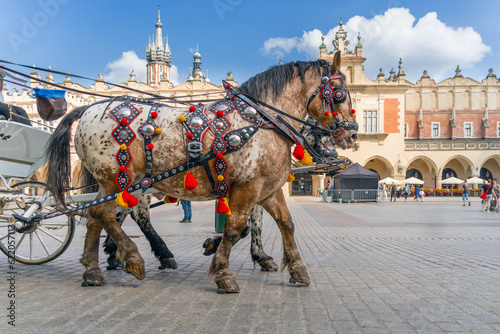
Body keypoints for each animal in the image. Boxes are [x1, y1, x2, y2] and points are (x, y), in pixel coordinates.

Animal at [46, 51, 356, 292]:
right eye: (340, 94)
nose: (351, 136)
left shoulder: (267, 189)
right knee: (108, 215)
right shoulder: (247, 187)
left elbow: (285, 224)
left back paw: (95, 270)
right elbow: (235, 228)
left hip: (113, 182)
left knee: (97, 217)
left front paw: (296, 270)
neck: (261, 121)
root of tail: (86, 109)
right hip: (116, 179)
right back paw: (133, 258)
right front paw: (222, 273)